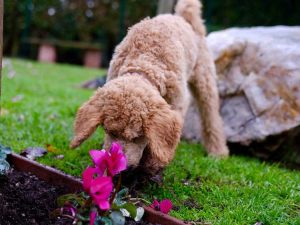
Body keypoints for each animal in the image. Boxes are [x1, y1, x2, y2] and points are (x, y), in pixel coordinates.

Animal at [71, 0, 230, 174]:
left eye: (137, 137)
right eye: (109, 131)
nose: (120, 170)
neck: (145, 61)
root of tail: (185, 19)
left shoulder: (177, 102)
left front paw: (153, 162)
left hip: (205, 80)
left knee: (211, 117)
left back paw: (218, 152)